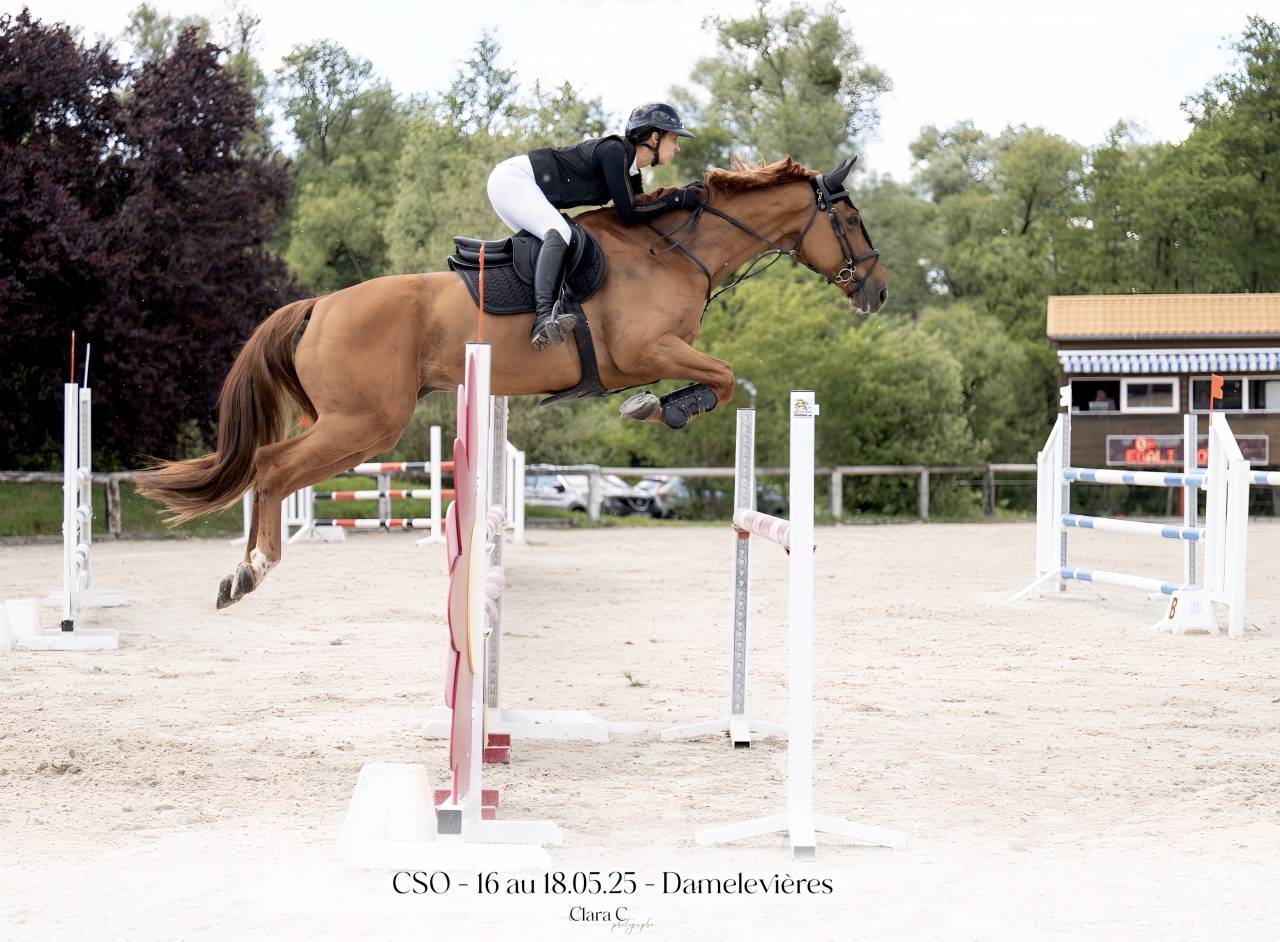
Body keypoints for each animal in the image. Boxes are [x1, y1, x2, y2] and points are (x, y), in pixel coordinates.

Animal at [136, 155, 887, 609]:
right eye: (850, 218)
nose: (877, 291)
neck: (675, 251)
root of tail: (320, 304)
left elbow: (724, 379)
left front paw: (659, 406)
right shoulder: (644, 349)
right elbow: (722, 378)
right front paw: (658, 408)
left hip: (352, 427)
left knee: (272, 468)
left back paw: (243, 570)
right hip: (363, 423)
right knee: (268, 466)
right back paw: (252, 569)